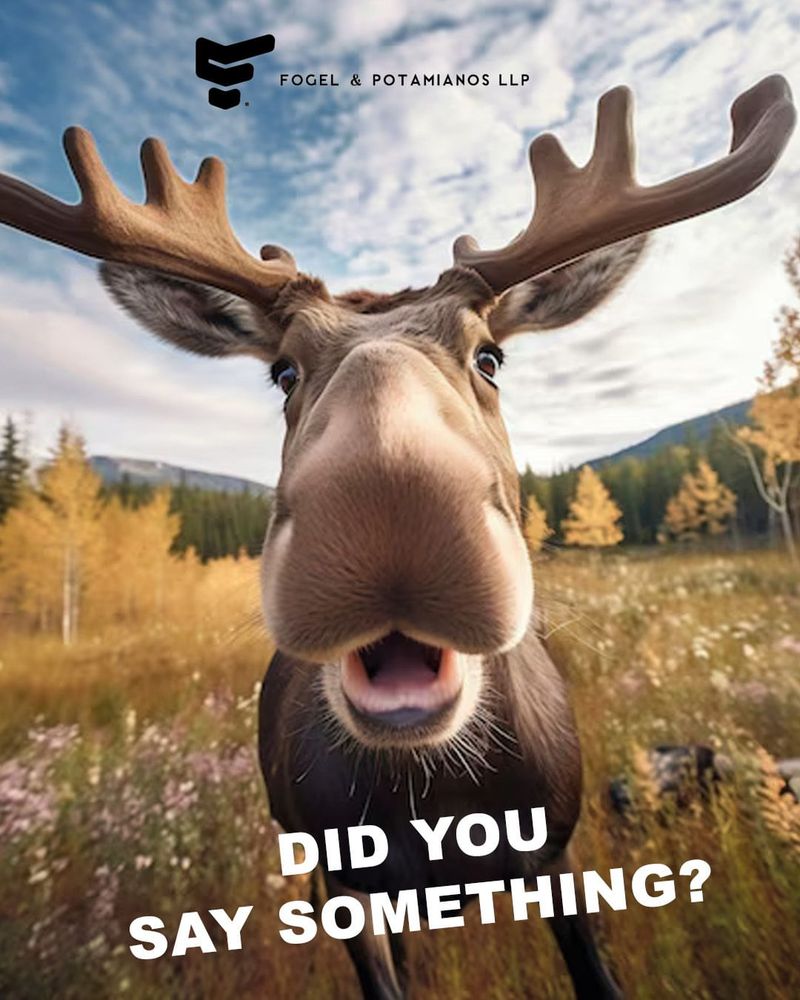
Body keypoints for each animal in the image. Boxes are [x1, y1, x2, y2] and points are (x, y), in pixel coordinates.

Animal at [0, 75, 794, 998]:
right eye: (283, 372)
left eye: (490, 357)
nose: (389, 496)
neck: (437, 805)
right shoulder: (343, 883)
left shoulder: (558, 849)